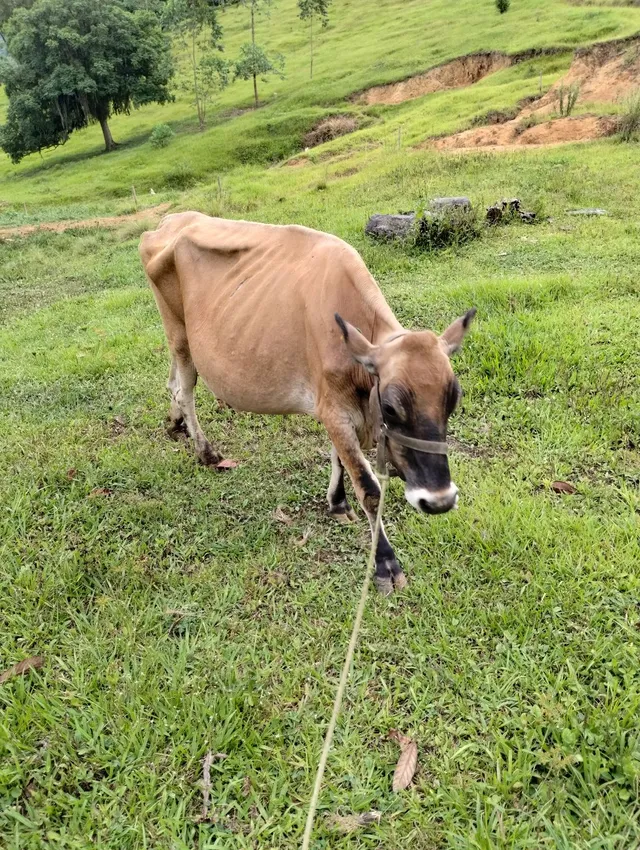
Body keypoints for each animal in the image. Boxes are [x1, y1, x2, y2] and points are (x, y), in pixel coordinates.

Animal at [140, 212, 475, 595]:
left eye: (453, 399)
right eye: (391, 407)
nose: (439, 500)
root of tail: (172, 219)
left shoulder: (336, 406)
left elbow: (339, 459)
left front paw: (337, 503)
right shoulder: (333, 409)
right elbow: (369, 488)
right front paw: (386, 565)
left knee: (172, 384)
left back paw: (175, 424)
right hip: (178, 331)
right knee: (185, 390)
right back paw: (205, 451)